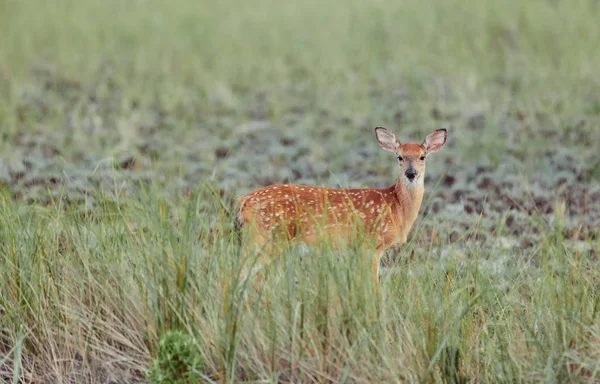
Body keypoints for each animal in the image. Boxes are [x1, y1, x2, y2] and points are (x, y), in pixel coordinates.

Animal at [237, 127, 448, 294]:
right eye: (400, 157)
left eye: (422, 156)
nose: (411, 173)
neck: (396, 207)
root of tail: (244, 201)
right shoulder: (370, 243)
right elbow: (373, 287)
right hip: (268, 236)